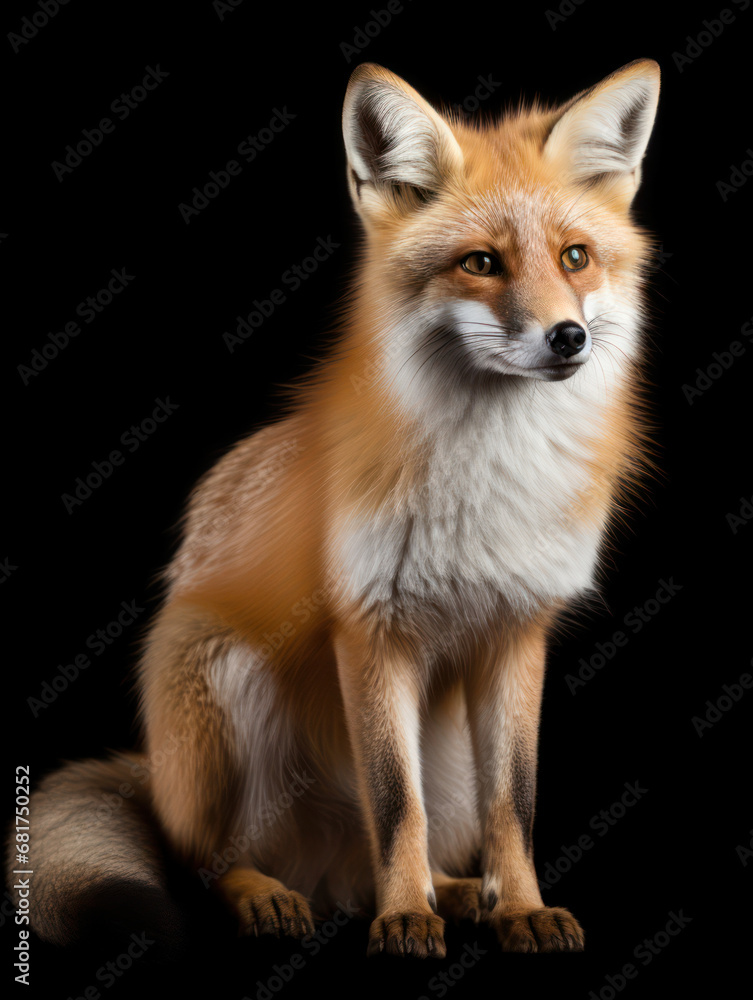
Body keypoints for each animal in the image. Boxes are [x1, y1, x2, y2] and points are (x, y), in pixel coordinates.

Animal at [10, 59, 660, 959]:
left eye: (575, 257)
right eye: (480, 263)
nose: (568, 338)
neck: (486, 483)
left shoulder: (515, 632)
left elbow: (514, 805)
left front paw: (520, 907)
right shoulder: (369, 630)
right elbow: (394, 803)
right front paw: (403, 918)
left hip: (439, 753)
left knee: (380, 854)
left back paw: (456, 893)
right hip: (222, 683)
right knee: (208, 859)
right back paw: (274, 896)